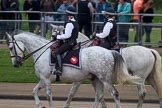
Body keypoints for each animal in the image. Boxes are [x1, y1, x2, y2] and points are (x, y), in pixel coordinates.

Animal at [5, 31, 142, 108]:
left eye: (11, 47)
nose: (15, 64)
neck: (42, 51)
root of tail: (109, 52)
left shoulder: (47, 80)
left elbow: (49, 96)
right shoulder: (43, 80)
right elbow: (34, 91)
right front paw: (39, 105)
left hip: (105, 79)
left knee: (115, 94)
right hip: (97, 79)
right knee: (99, 96)